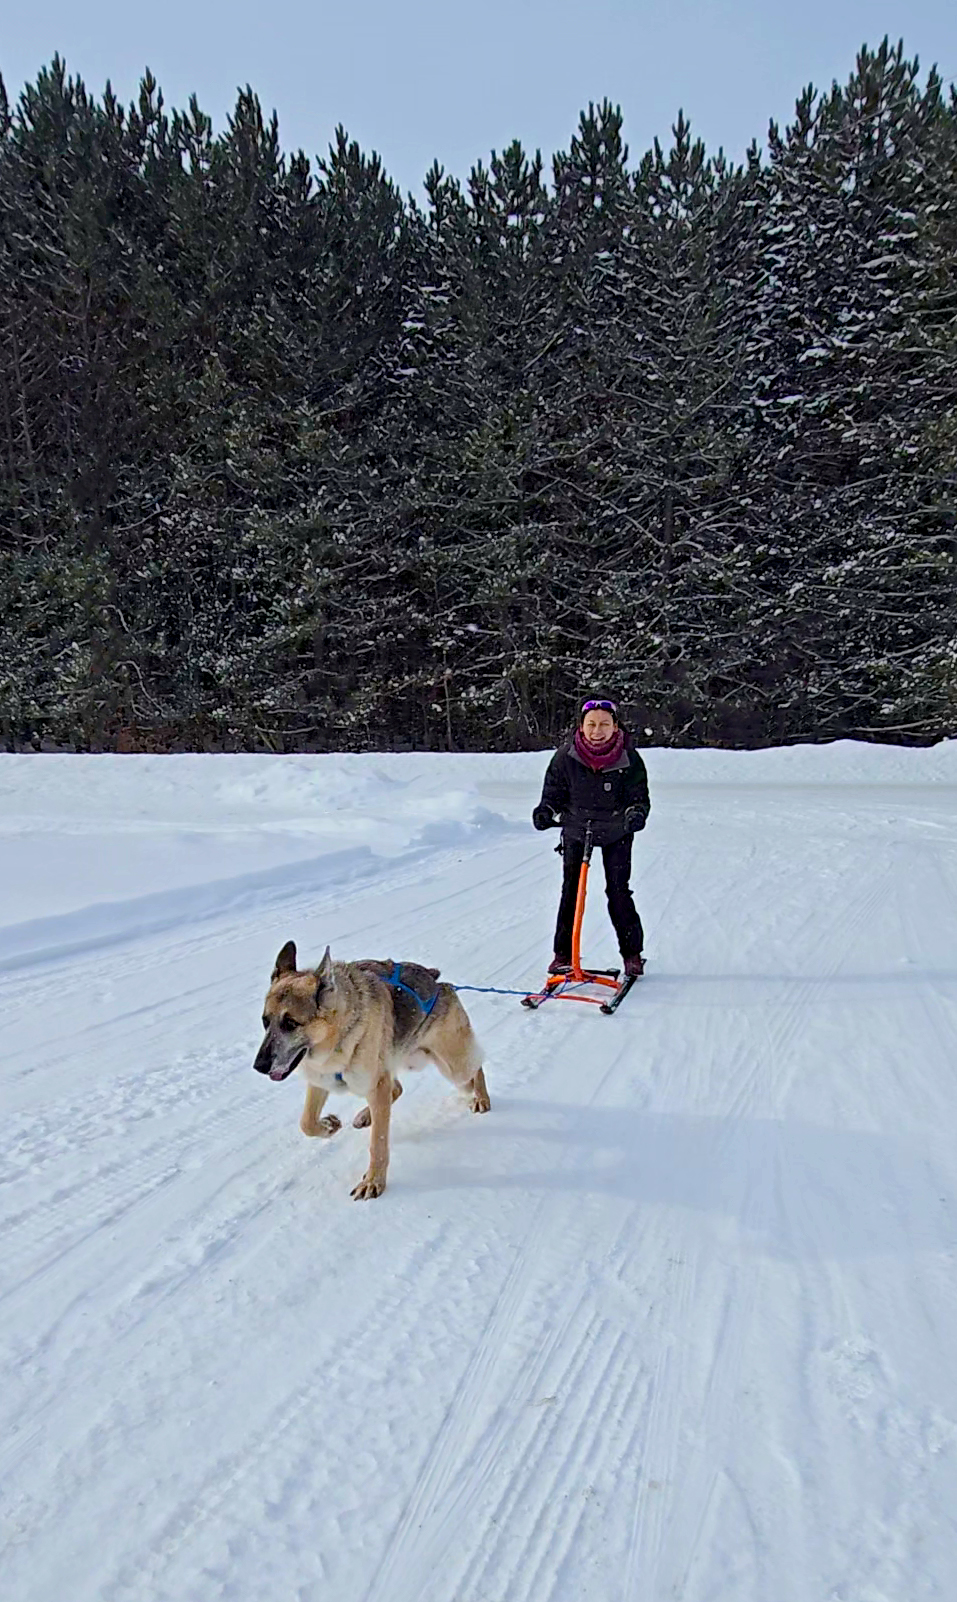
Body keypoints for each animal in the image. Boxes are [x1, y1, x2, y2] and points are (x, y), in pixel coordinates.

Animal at [251, 935, 487, 1204]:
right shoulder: (321, 1080)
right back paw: (366, 1115)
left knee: (476, 1068)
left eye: (290, 1023)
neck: (338, 1038)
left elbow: (378, 1143)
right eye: (265, 1021)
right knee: (397, 1089)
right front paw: (328, 1126)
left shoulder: (375, 1084)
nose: (259, 1066)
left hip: (454, 1066)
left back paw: (481, 1098)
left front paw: (374, 1181)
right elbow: (306, 1123)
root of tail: (436, 980)